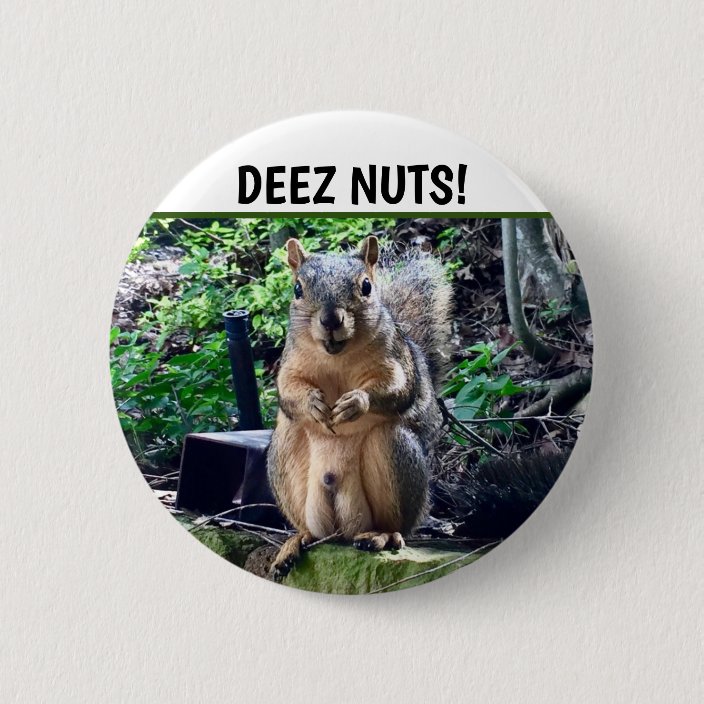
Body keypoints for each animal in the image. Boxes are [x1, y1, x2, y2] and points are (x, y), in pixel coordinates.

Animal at [267, 235, 452, 578]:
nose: (330, 320)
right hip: (286, 455)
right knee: (312, 531)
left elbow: (399, 389)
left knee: (395, 525)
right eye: (297, 289)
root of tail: (343, 529)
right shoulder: (290, 363)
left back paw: (382, 536)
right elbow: (287, 391)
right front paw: (312, 403)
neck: (336, 356)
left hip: (394, 452)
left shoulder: (395, 359)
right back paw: (295, 542)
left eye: (366, 286)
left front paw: (356, 403)